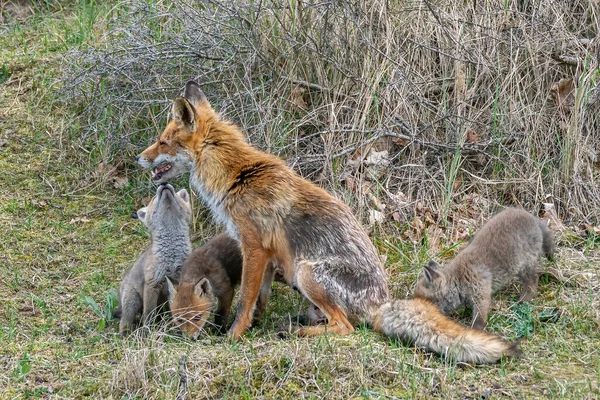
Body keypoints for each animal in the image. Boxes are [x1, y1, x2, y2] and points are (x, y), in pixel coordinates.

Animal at [136, 81, 520, 362]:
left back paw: (298, 332)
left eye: (162, 142)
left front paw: (234, 335)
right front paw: (254, 326)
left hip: (306, 271)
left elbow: (245, 300)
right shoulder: (267, 255)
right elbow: (259, 299)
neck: (238, 176)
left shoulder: (254, 246)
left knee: (346, 327)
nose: (139, 157)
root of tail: (380, 302)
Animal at [418, 208, 552, 330]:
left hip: (525, 266)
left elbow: (479, 319)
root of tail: (532, 217)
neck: (459, 279)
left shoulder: (481, 294)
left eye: (423, 301)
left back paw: (522, 301)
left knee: (533, 281)